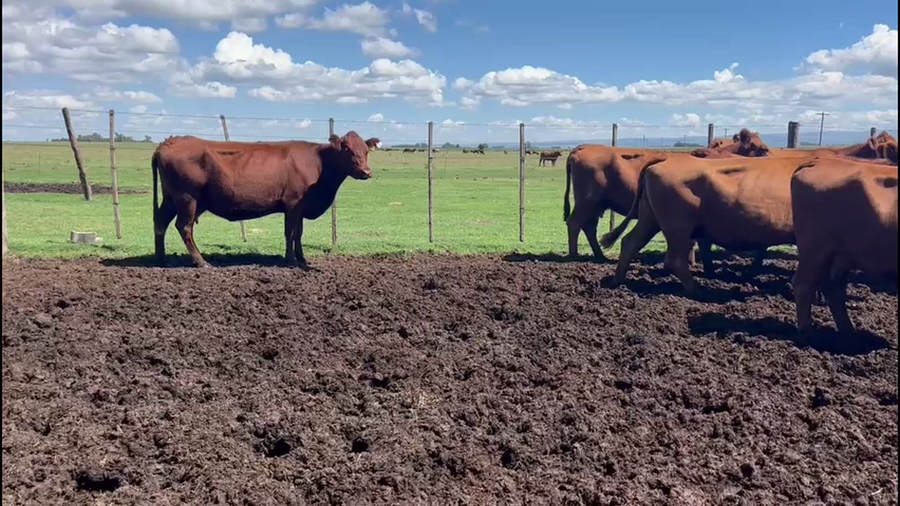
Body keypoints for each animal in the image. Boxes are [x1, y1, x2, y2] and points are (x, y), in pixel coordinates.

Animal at [151, 131, 381, 268]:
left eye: (366, 150)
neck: (319, 163)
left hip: (171, 198)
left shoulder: (300, 207)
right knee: (184, 226)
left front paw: (302, 258)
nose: (366, 172)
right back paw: (201, 262)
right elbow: (290, 232)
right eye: (347, 149)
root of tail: (168, 142)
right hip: (187, 198)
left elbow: (299, 233)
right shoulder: (293, 202)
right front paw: (291, 261)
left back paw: (162, 260)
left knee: (161, 222)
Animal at [600, 156, 819, 291]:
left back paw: (617, 281)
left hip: (650, 218)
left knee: (630, 243)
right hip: (677, 226)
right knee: (676, 259)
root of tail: (666, 160)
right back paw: (698, 290)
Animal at [790, 159, 898, 334]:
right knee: (804, 285)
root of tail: (819, 162)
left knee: (833, 288)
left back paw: (848, 332)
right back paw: (807, 332)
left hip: (841, 255)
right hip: (815, 251)